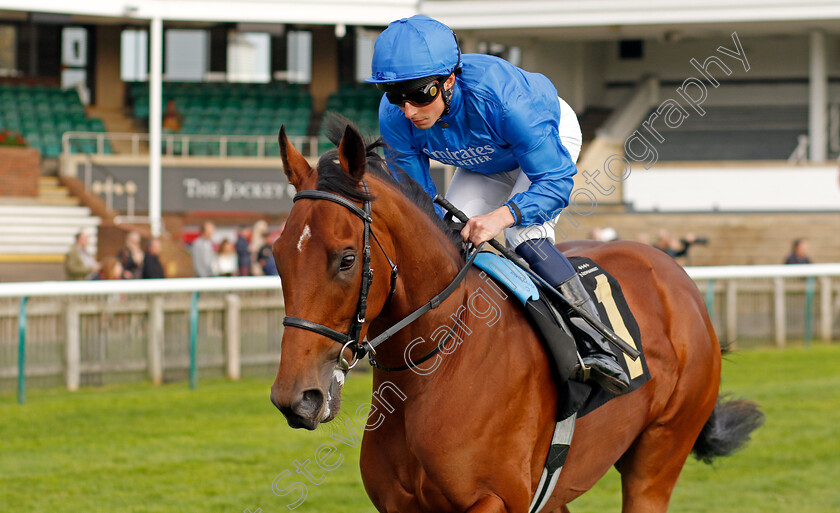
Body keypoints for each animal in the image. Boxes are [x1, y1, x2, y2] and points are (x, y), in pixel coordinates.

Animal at [270, 121, 760, 512]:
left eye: (347, 259)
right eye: (276, 255)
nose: (297, 398)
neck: (439, 361)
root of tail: (674, 273)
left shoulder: (495, 500)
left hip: (660, 455)